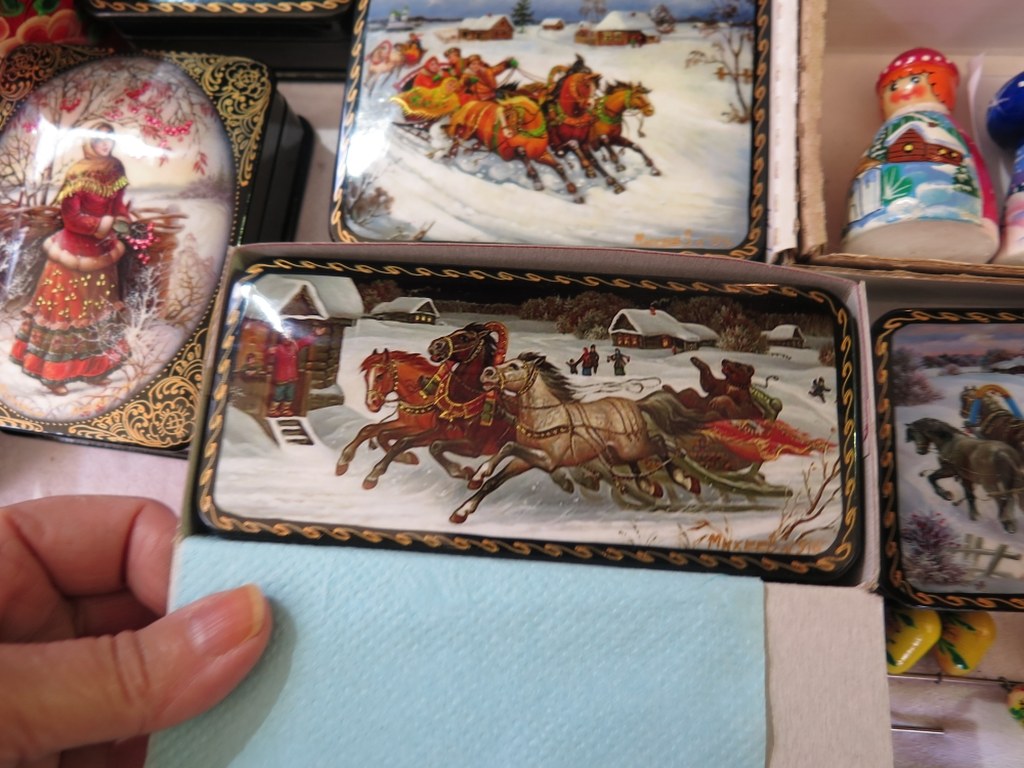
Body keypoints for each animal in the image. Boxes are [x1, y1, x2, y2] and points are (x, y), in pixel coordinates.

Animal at [445, 95, 584, 204]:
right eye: (505, 115)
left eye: (509, 115)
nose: (508, 134)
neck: (529, 134)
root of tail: (474, 103)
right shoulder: (508, 153)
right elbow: (521, 153)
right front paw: (537, 183)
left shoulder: (540, 155)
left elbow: (559, 167)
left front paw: (575, 194)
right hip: (467, 131)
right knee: (457, 139)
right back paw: (449, 157)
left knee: (472, 144)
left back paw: (468, 151)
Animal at [449, 352, 694, 524]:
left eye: (514, 366)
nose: (486, 373)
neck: (546, 417)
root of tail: (635, 403)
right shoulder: (527, 460)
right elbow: (494, 480)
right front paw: (463, 509)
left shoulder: (548, 460)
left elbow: (508, 446)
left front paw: (479, 474)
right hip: (618, 451)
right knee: (647, 455)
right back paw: (649, 485)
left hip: (633, 445)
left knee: (661, 443)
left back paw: (683, 479)